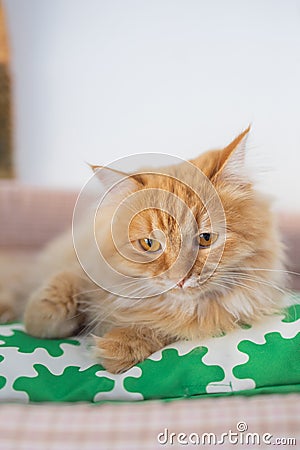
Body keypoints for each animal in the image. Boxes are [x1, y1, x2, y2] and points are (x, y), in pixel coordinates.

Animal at [0, 126, 286, 372]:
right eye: (150, 244)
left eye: (205, 238)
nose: (180, 279)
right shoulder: (83, 265)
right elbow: (54, 299)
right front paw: (43, 317)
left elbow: (164, 327)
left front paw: (118, 347)